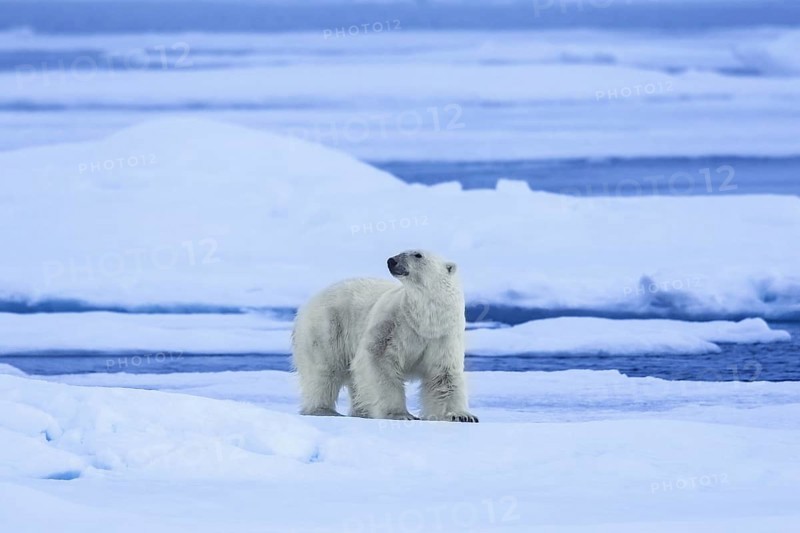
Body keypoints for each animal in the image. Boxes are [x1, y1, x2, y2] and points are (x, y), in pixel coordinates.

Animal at [291, 249, 478, 422]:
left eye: (418, 254)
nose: (392, 261)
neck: (424, 321)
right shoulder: (393, 325)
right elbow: (379, 361)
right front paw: (401, 415)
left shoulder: (443, 336)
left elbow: (444, 375)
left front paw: (462, 416)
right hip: (328, 327)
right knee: (324, 370)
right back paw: (323, 410)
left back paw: (361, 412)